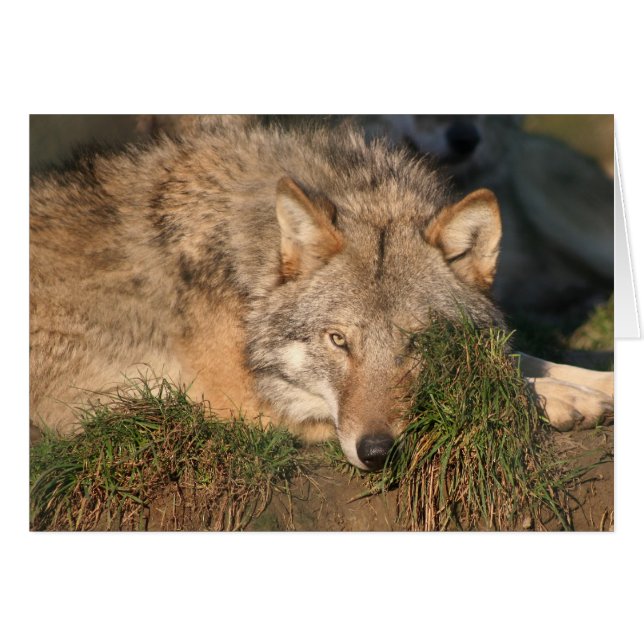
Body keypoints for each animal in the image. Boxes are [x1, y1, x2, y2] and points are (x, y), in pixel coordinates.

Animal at [29, 117, 614, 470]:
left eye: (418, 342)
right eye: (337, 341)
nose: (376, 452)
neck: (250, 272)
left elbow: (521, 355)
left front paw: (590, 383)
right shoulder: (242, 403)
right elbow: (495, 380)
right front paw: (560, 399)